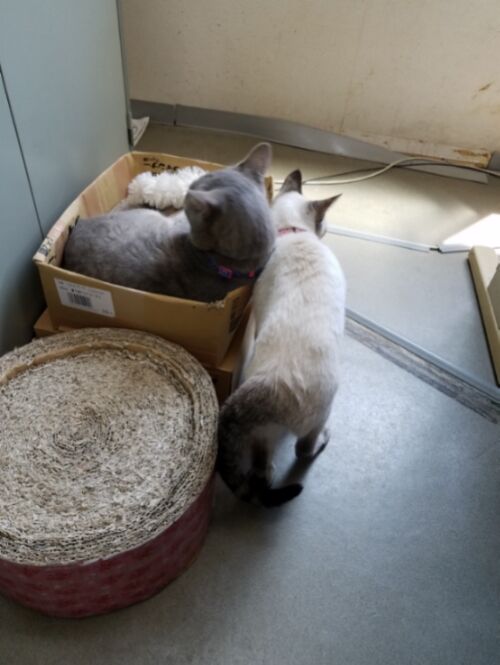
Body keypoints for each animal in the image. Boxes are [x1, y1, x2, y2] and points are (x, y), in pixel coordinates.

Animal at [217, 169, 346, 507]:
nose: (327, 231)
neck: (290, 233)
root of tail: (269, 387)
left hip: (263, 434)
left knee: (263, 472)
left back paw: (267, 475)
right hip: (321, 411)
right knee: (303, 450)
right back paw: (323, 439)